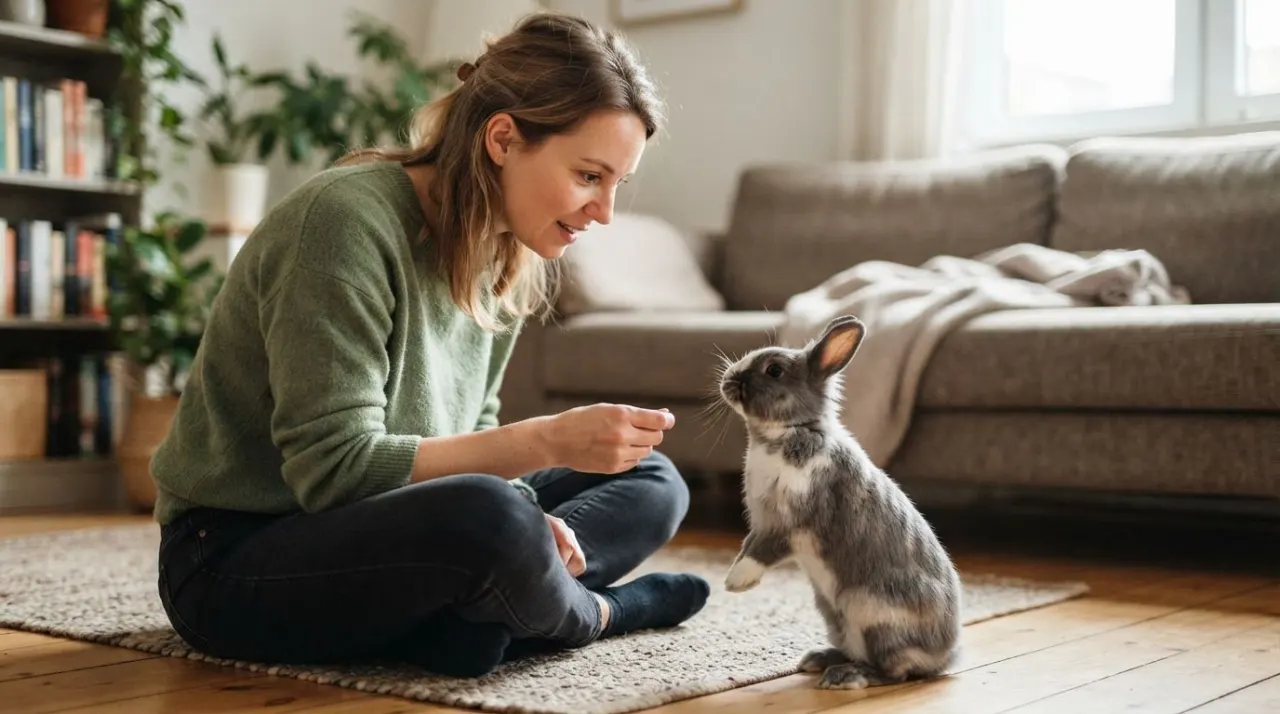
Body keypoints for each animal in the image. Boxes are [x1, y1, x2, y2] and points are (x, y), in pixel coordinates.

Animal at [717, 314, 962, 690]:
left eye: (774, 370)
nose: (728, 378)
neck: (789, 430)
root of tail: (944, 657)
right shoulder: (762, 522)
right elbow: (748, 546)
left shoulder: (793, 521)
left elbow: (763, 551)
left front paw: (736, 582)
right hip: (833, 615)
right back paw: (820, 659)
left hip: (871, 614)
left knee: (895, 672)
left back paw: (845, 676)